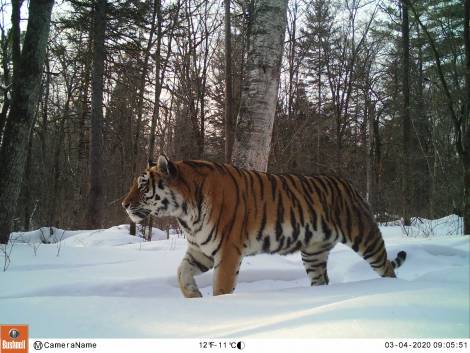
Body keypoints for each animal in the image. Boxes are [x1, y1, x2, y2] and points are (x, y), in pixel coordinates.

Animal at [123, 155, 406, 296]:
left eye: (143, 186)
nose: (124, 204)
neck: (185, 212)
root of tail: (350, 185)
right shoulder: (201, 249)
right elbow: (181, 272)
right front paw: (194, 296)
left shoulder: (227, 251)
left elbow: (221, 287)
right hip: (313, 252)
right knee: (321, 280)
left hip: (364, 237)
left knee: (387, 268)